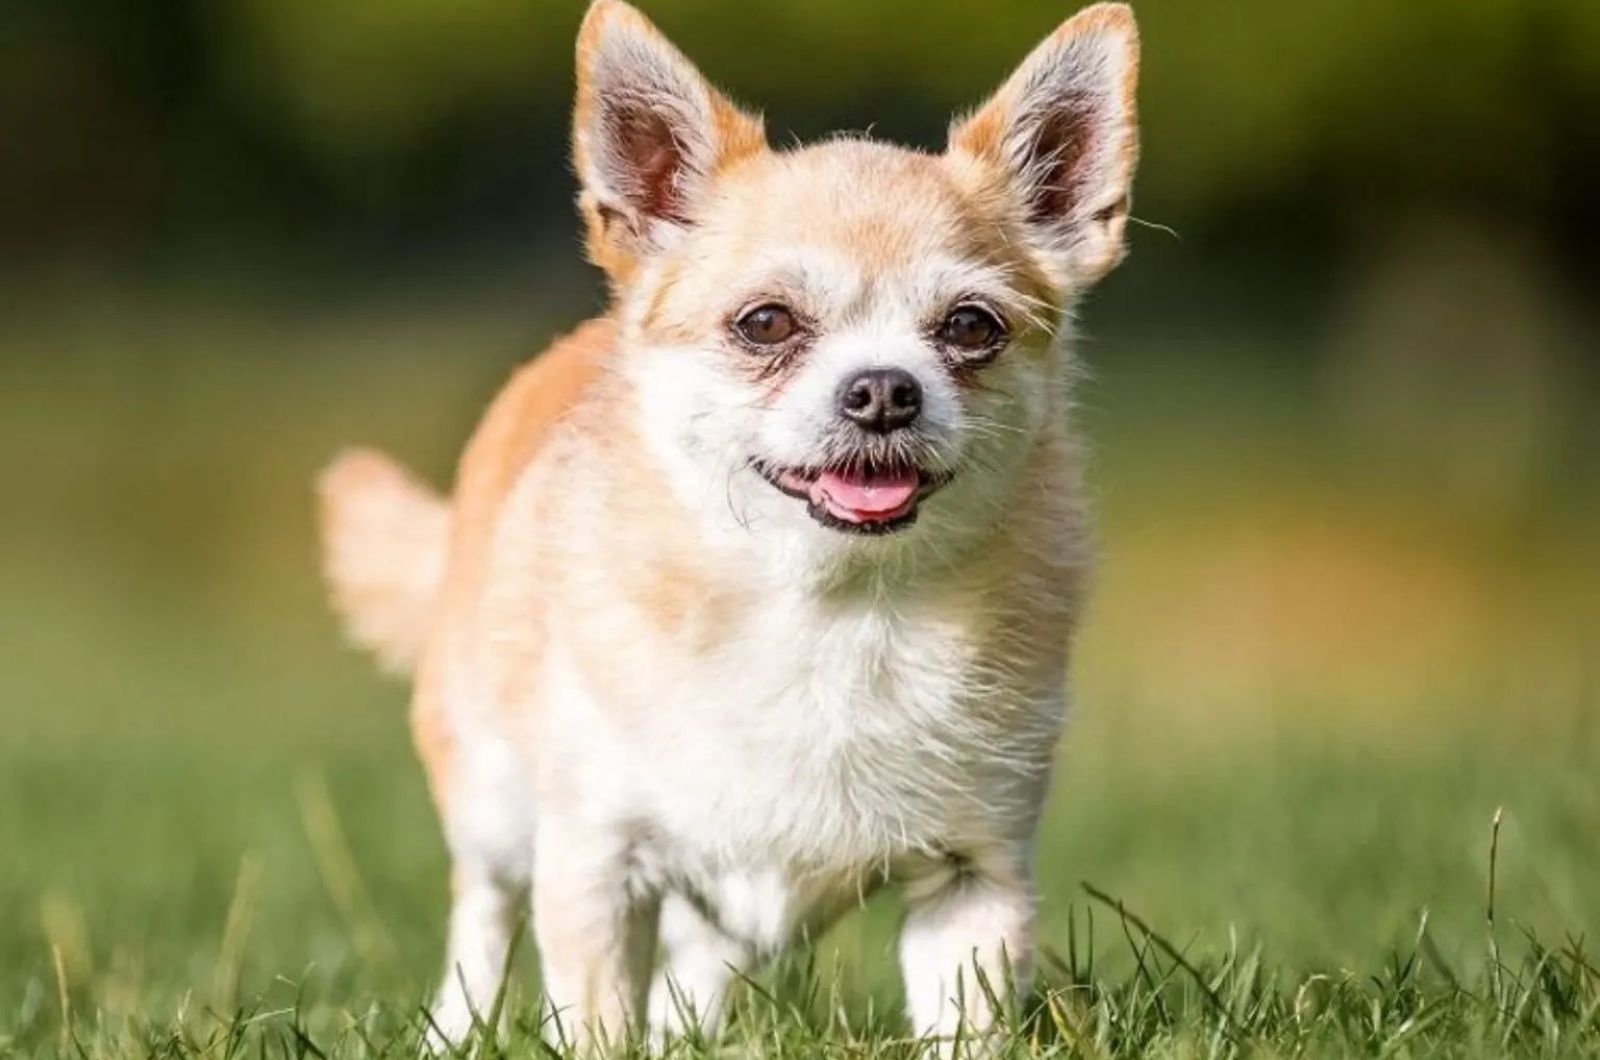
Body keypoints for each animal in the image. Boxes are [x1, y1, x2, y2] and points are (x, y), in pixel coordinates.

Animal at [315, 0, 1139, 1043]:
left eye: (971, 327)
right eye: (766, 323)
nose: (883, 390)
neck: (832, 609)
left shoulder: (973, 879)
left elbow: (966, 1025)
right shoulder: (594, 861)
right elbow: (593, 1021)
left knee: (702, 964)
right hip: (493, 799)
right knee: (483, 916)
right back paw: (455, 1033)